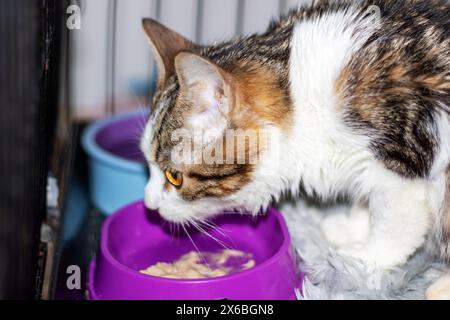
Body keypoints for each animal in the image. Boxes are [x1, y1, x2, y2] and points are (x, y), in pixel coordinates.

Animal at [139, 0, 448, 270]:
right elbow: (367, 192)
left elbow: (395, 217)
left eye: (174, 177)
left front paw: (367, 259)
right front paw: (353, 225)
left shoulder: (401, 161)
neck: (300, 96)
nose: (149, 204)